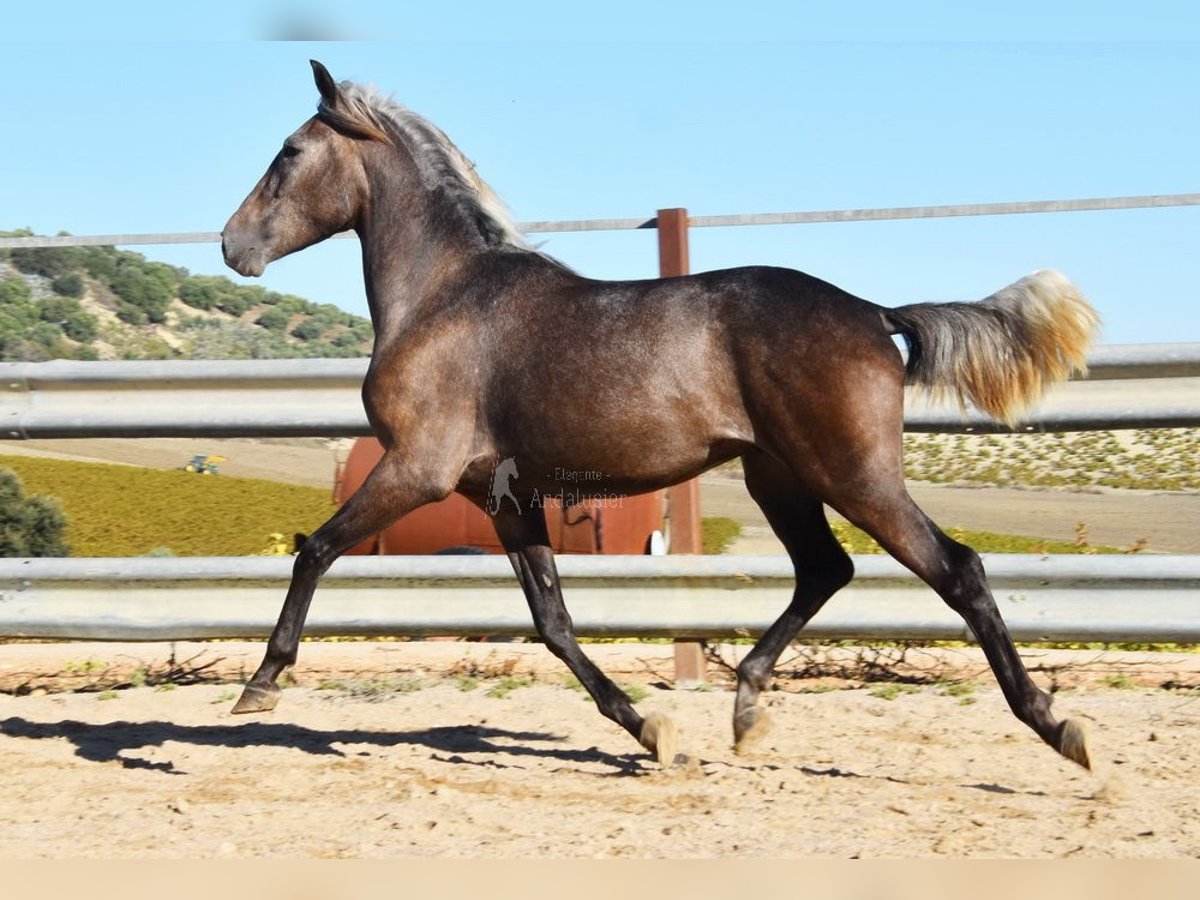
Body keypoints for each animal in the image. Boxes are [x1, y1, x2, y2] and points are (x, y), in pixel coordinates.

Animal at [220, 60, 1099, 772]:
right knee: (826, 569)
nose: (233, 245)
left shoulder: (417, 468)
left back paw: (1059, 729)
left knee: (957, 569)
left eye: (289, 152)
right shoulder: (503, 495)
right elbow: (553, 620)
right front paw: (650, 730)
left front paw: (260, 685)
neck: (446, 295)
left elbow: (315, 550)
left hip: (853, 474)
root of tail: (872, 313)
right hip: (780, 476)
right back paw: (746, 710)